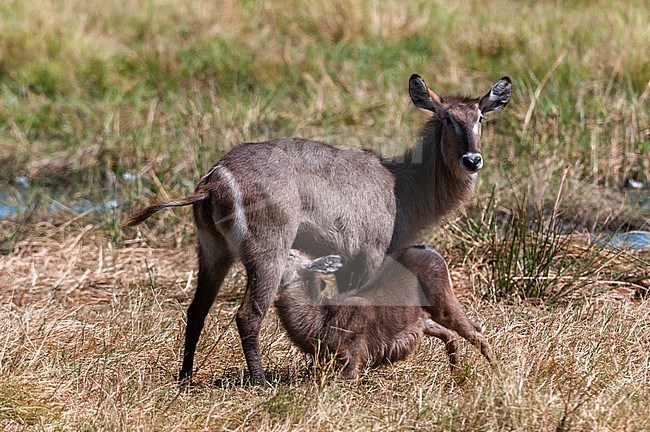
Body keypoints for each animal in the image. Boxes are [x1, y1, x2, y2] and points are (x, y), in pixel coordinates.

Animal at [274, 248, 492, 380]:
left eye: (290, 255)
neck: (319, 322)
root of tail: (434, 252)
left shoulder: (353, 355)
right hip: (422, 319)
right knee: (451, 334)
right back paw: (455, 374)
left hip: (442, 301)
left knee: (475, 332)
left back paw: (494, 370)